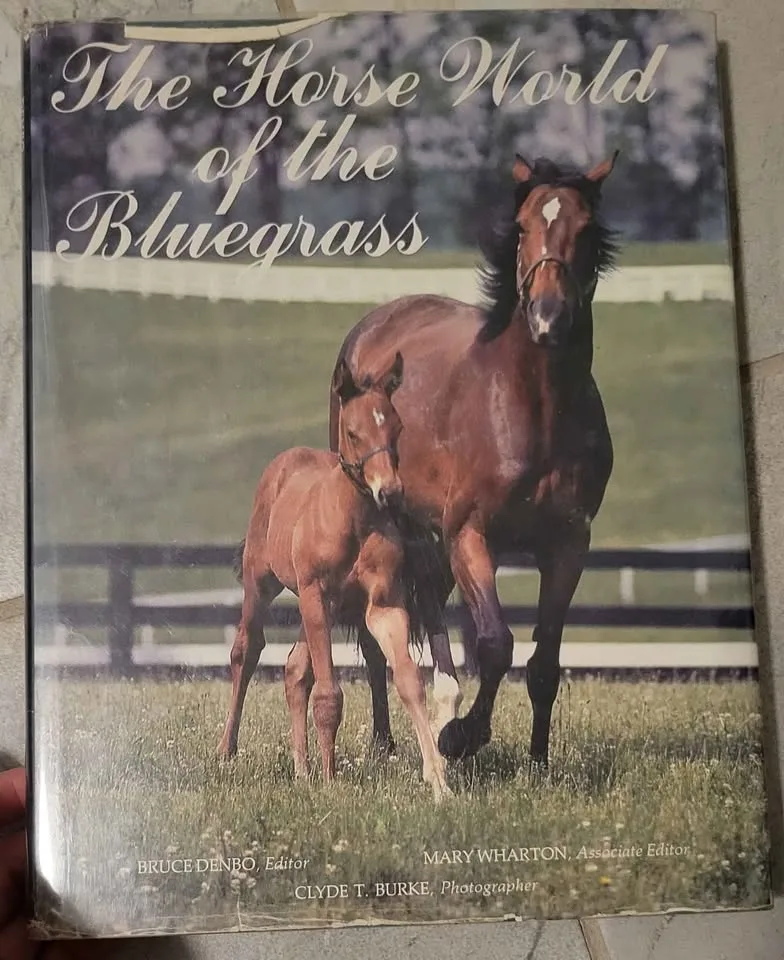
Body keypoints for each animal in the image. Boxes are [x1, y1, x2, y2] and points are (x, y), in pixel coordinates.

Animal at [217, 352, 450, 801]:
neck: (352, 521)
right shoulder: (315, 595)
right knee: (246, 650)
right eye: (354, 432)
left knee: (294, 670)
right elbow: (328, 695)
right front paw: (330, 781)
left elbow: (409, 681)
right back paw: (227, 750)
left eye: (396, 428)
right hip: (265, 583)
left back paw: (301, 771)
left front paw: (439, 781)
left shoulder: (383, 604)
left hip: (325, 609)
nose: (390, 492)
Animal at [328, 153, 619, 767]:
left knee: (433, 619)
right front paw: (463, 736)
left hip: (431, 539)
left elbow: (544, 661)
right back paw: (389, 742)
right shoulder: (470, 533)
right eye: (525, 227)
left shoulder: (568, 544)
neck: (535, 408)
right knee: (376, 641)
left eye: (584, 229)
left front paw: (537, 760)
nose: (548, 317)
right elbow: (494, 643)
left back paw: (440, 710)